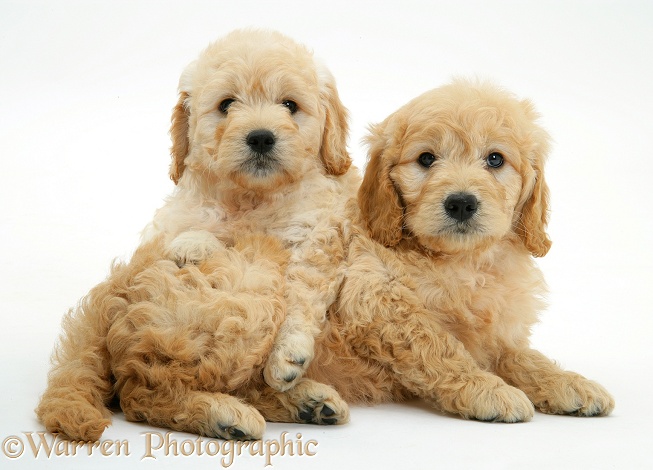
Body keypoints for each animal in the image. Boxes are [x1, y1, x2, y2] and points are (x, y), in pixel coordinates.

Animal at [35, 29, 356, 440]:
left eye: (290, 105)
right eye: (226, 105)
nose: (261, 138)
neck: (252, 197)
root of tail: (104, 304)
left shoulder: (316, 236)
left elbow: (301, 296)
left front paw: (288, 355)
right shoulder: (171, 224)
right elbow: (192, 232)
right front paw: (193, 243)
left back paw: (304, 403)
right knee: (141, 393)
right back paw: (230, 414)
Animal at [308, 81, 612, 422]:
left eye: (495, 159)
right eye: (426, 158)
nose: (462, 203)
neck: (463, 260)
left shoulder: (497, 331)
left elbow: (521, 356)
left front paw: (567, 382)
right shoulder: (374, 296)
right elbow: (438, 347)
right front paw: (487, 389)